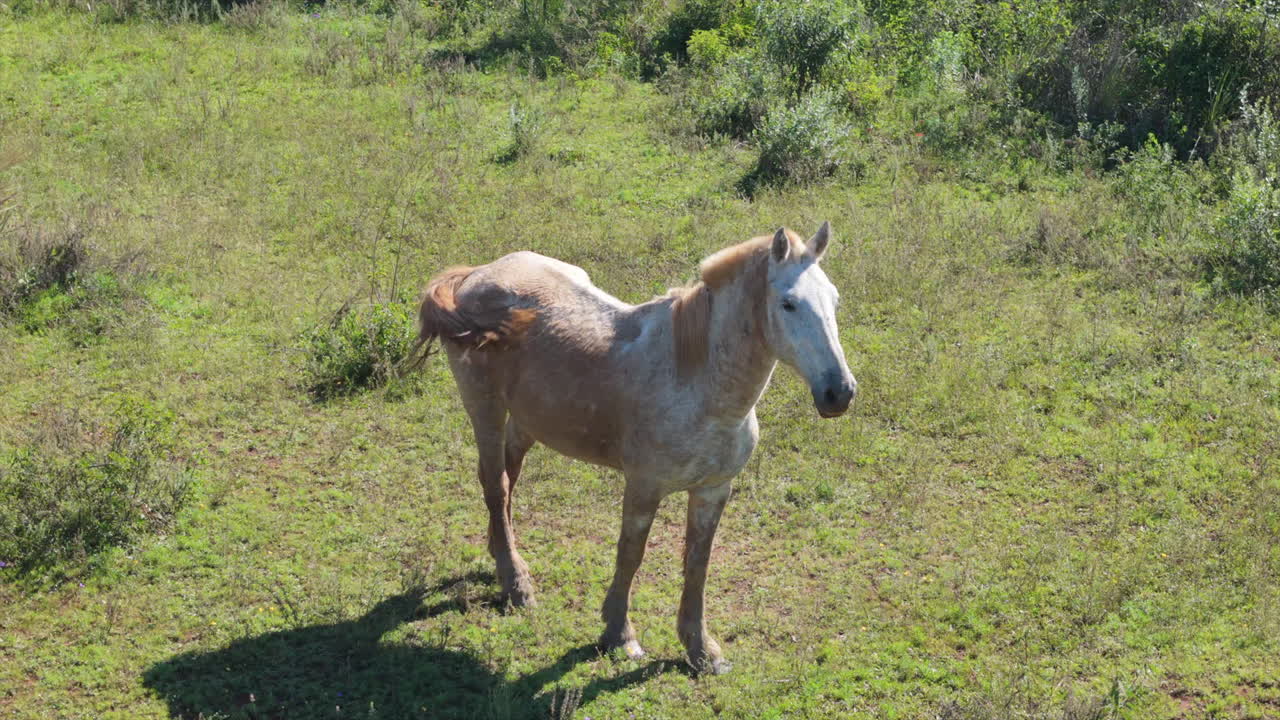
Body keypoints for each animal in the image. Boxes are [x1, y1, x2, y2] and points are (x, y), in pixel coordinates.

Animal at [413, 222, 855, 674]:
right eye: (788, 304)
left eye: (835, 299)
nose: (839, 392)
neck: (697, 384)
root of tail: (476, 275)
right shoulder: (643, 487)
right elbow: (631, 554)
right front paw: (619, 634)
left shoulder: (713, 490)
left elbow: (698, 564)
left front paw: (701, 649)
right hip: (484, 407)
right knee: (495, 483)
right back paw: (517, 585)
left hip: (527, 416)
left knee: (508, 475)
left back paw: (502, 560)